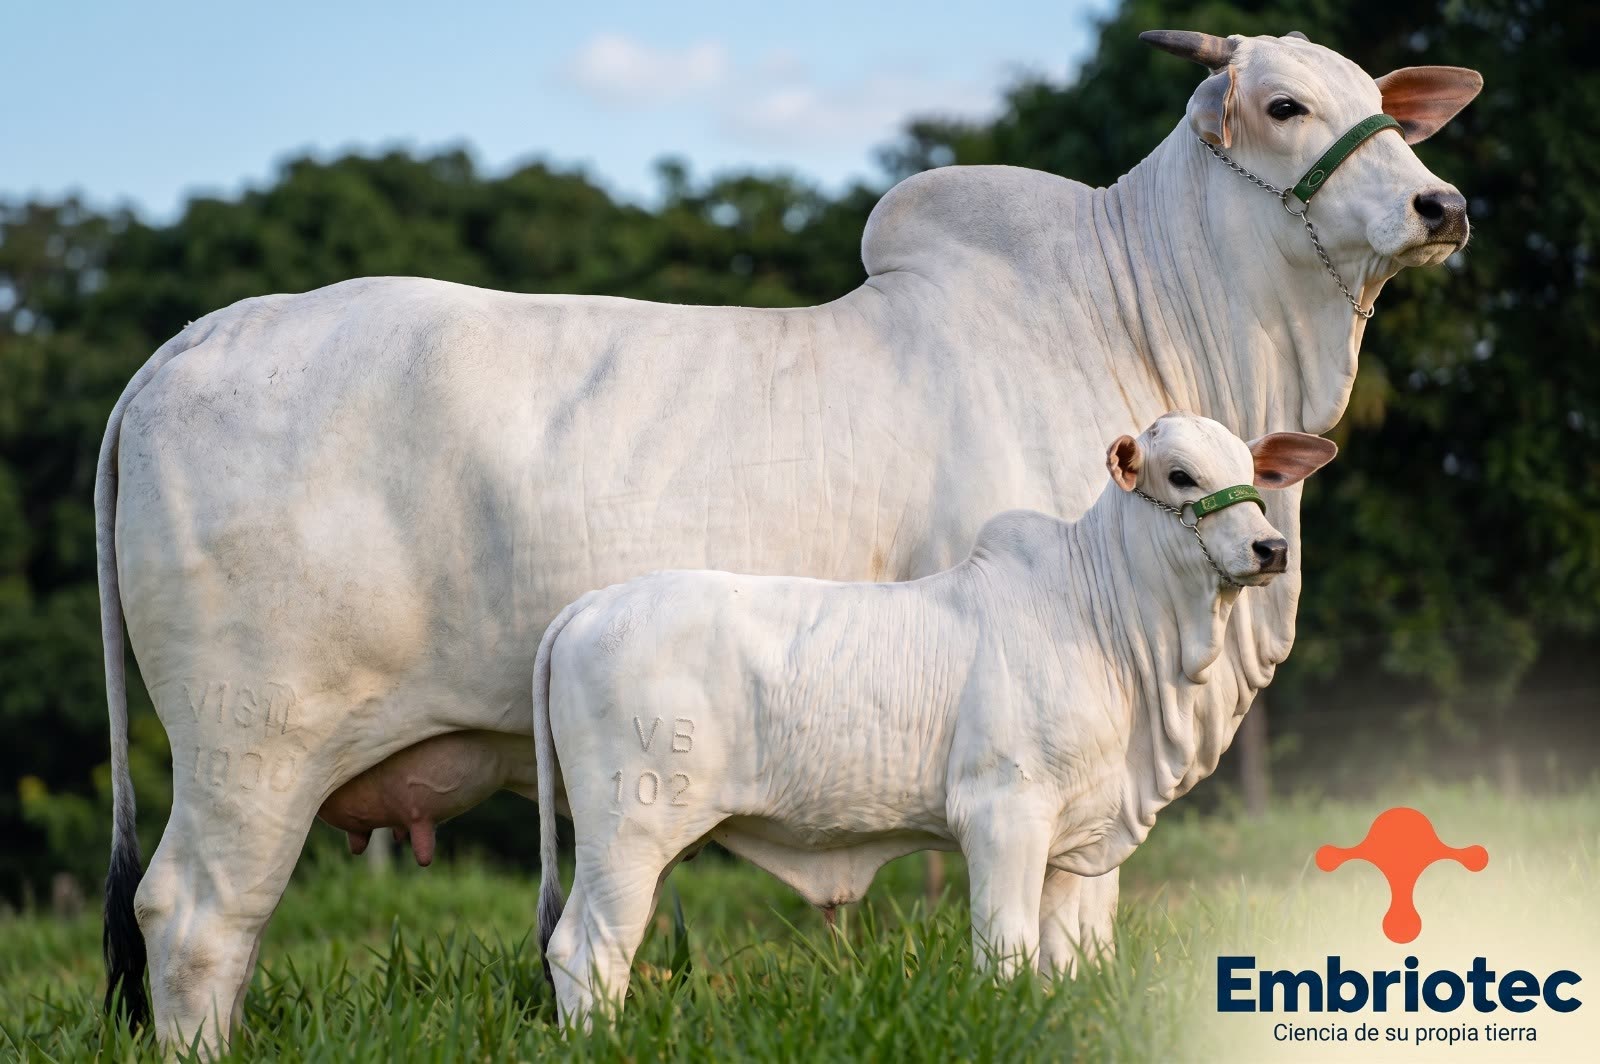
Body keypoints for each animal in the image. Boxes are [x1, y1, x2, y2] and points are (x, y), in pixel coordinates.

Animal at [532, 414, 1337, 1023]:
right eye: (1180, 476)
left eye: (1253, 474)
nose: (1271, 548)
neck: (1111, 624)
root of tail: (591, 606)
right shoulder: (1003, 812)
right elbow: (1005, 952)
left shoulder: (1075, 837)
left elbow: (1065, 959)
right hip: (629, 827)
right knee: (588, 949)